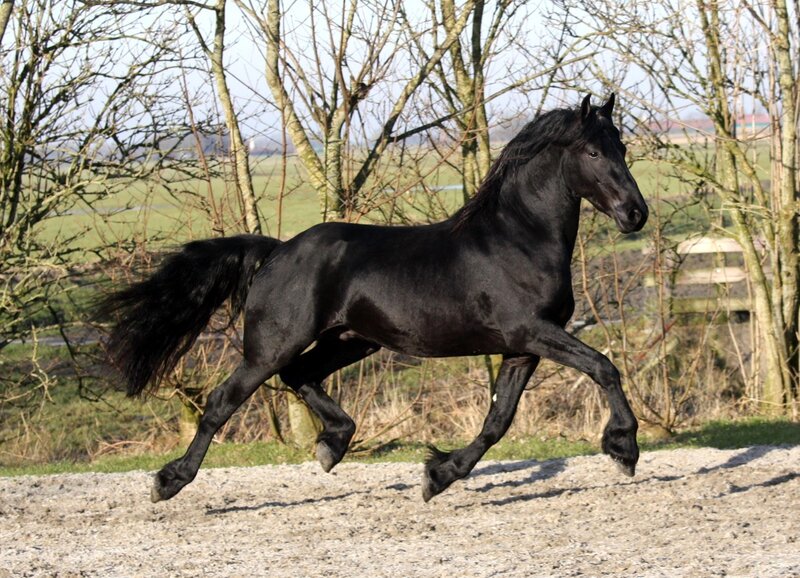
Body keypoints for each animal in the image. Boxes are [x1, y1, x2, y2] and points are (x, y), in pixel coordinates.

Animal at [99, 94, 648, 504]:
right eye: (593, 152)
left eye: (621, 145)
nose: (635, 214)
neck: (518, 238)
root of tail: (278, 251)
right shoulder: (531, 331)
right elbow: (603, 367)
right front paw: (623, 448)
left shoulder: (520, 348)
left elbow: (498, 421)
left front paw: (438, 475)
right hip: (273, 345)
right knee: (223, 401)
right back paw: (169, 481)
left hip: (351, 340)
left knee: (300, 376)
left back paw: (334, 443)